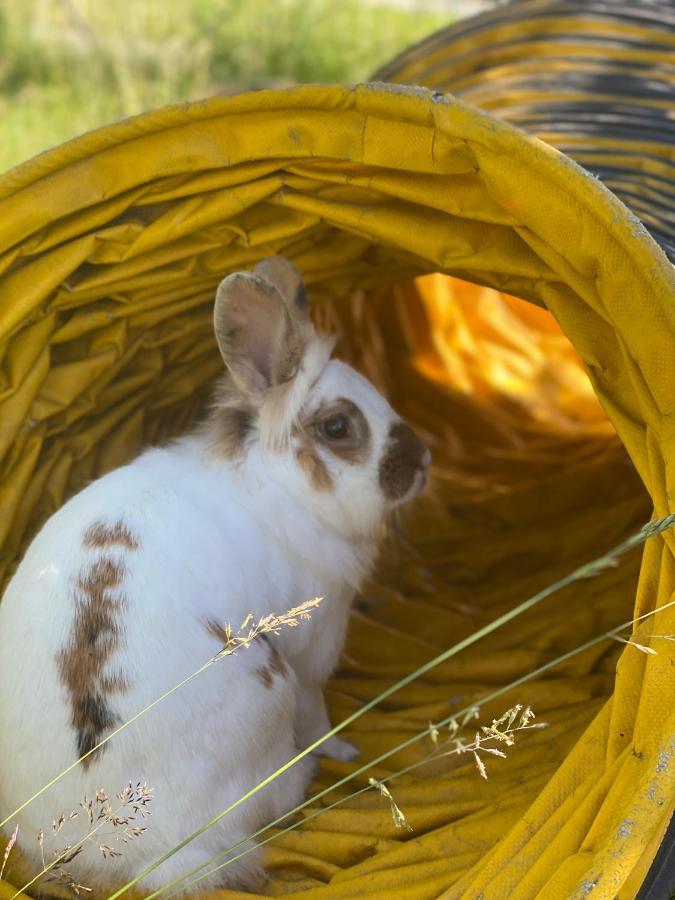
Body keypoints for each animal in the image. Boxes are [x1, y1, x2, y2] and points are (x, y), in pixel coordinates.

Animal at [0, 253, 430, 892]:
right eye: (337, 427)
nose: (423, 461)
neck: (277, 482)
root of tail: (139, 852)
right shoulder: (310, 658)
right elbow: (318, 709)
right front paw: (344, 750)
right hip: (271, 686)